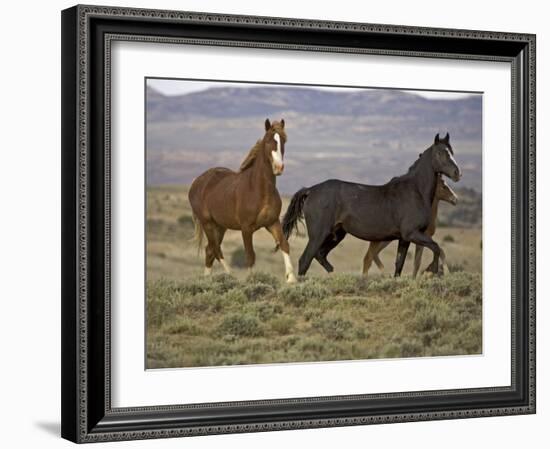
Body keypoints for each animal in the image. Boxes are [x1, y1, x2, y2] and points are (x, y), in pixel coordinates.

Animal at [189, 117, 298, 282]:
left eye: (283, 141)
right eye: (268, 141)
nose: (279, 168)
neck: (259, 190)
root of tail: (196, 182)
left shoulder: (272, 223)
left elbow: (284, 245)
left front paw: (291, 280)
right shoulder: (246, 229)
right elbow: (250, 255)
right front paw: (251, 281)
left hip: (220, 226)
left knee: (210, 250)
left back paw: (207, 280)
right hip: (207, 223)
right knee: (216, 249)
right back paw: (231, 275)